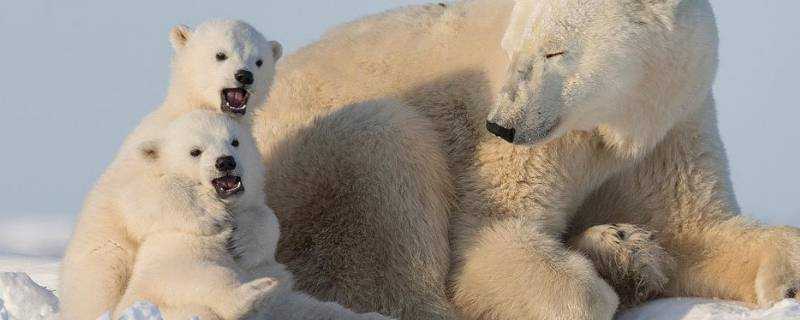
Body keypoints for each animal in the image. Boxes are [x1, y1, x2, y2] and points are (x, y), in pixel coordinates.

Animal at [61, 20, 282, 320]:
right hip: (102, 262)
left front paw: (244, 241)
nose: (244, 76)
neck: (188, 108)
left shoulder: (252, 162)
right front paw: (210, 214)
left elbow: (264, 212)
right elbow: (140, 196)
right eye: (221, 54)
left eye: (259, 60)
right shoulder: (150, 148)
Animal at [253, 0, 800, 318]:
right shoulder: (533, 147)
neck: (616, 121)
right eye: (512, 49)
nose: (501, 124)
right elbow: (490, 239)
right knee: (383, 152)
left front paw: (786, 280)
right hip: (299, 172)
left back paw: (626, 249)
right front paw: (602, 286)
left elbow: (698, 230)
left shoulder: (672, 122)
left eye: (554, 51)